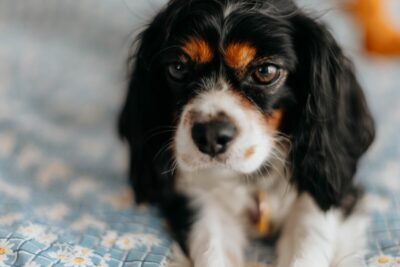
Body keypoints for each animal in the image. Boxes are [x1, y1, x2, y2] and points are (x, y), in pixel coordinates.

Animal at [118, 1, 376, 266]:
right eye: (178, 68)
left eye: (266, 71)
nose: (210, 135)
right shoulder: (197, 197)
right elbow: (211, 247)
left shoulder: (328, 190)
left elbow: (309, 237)